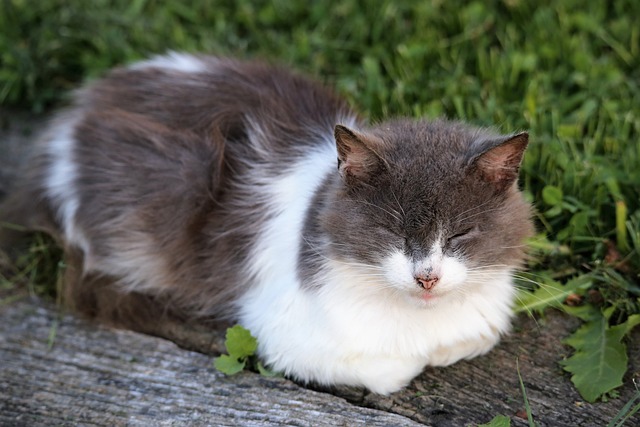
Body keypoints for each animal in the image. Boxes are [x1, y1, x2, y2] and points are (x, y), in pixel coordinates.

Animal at [1, 52, 536, 394]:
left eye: (462, 233)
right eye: (391, 232)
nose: (427, 277)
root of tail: (64, 128)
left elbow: (472, 339)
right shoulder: (286, 334)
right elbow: (392, 370)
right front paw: (420, 358)